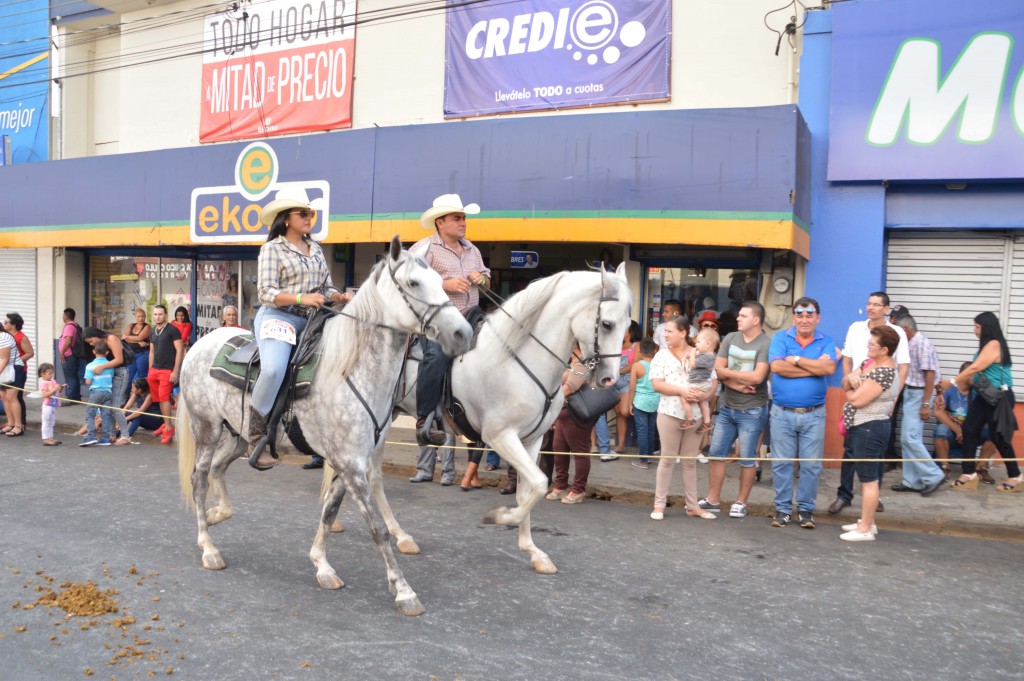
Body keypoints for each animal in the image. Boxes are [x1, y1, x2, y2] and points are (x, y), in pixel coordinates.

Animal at [179, 236, 471, 614]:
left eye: (440, 281)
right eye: (413, 283)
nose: (462, 333)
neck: (350, 370)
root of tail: (201, 342)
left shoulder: (350, 462)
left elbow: (330, 512)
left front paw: (322, 565)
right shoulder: (350, 465)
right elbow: (377, 528)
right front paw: (404, 591)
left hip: (239, 437)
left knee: (217, 469)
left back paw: (218, 514)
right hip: (207, 429)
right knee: (199, 479)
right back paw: (208, 546)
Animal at [356, 266, 634, 573]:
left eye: (627, 324)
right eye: (607, 324)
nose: (609, 379)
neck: (516, 359)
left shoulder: (532, 440)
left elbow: (529, 488)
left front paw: (533, 551)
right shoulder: (500, 436)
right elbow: (539, 483)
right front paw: (500, 517)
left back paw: (395, 535)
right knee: (369, 474)